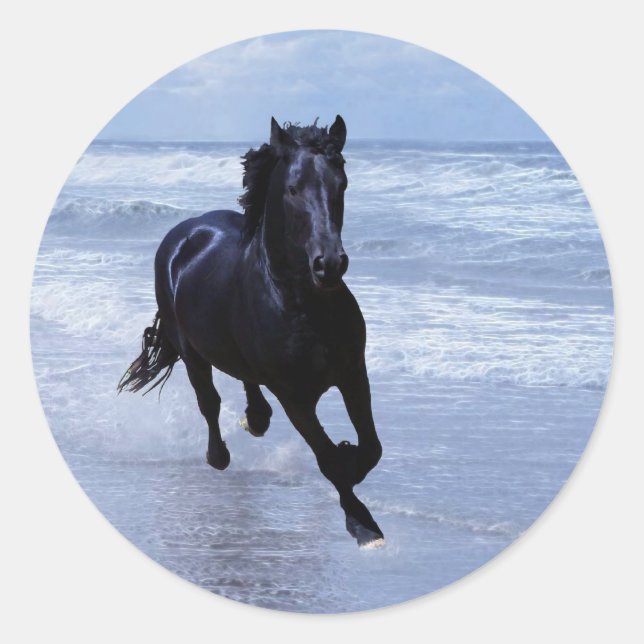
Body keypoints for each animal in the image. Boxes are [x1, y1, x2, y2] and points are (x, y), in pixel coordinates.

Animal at [118, 116, 384, 547]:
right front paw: (363, 525)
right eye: (293, 188)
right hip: (190, 350)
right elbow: (328, 459)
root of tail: (184, 233)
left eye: (341, 184)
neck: (301, 304)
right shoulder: (294, 397)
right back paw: (218, 455)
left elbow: (371, 448)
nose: (329, 264)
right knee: (208, 402)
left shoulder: (353, 374)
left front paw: (352, 459)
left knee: (246, 380)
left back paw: (256, 419)